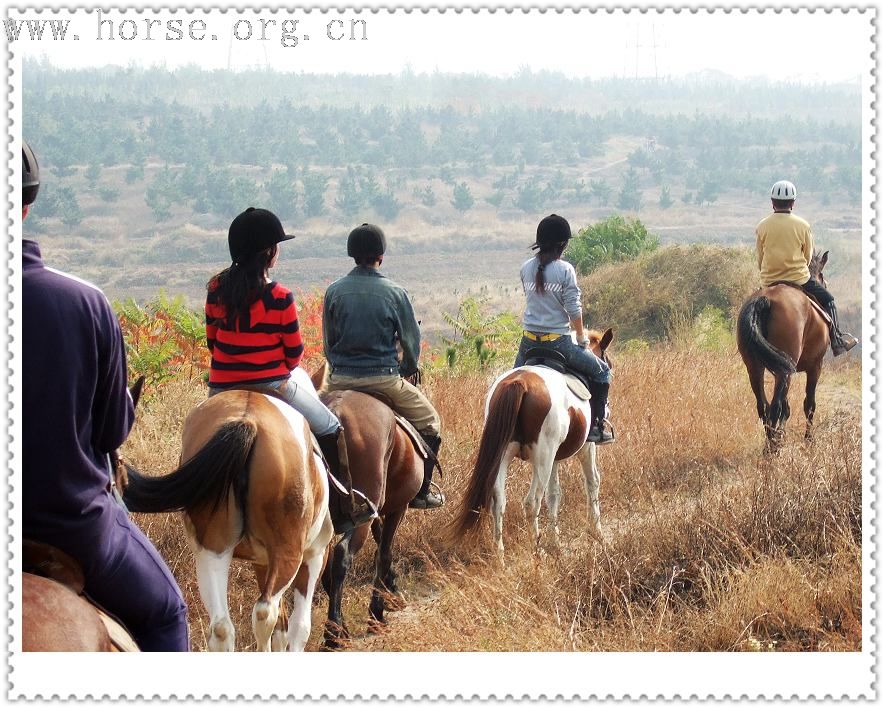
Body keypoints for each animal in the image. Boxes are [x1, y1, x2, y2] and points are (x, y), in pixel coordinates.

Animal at [122, 370, 334, 652]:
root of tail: (247, 420)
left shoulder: (260, 561)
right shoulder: (315, 554)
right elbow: (299, 627)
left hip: (213, 551)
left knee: (222, 627)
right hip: (287, 551)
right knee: (265, 612)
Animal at [308, 362, 424, 648]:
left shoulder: (372, 512)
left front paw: (391, 592)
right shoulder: (397, 508)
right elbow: (383, 552)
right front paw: (377, 613)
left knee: (326, 564)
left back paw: (339, 629)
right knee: (341, 557)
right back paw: (333, 636)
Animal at [448, 330, 616, 556]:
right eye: (608, 365)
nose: (607, 409)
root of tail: (519, 383)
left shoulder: (555, 458)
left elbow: (554, 494)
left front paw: (556, 542)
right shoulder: (586, 449)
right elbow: (592, 482)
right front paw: (596, 532)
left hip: (505, 457)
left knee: (498, 502)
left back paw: (500, 556)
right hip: (543, 458)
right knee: (531, 502)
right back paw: (536, 550)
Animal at [740, 249, 836, 448]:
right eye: (822, 275)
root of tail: (765, 299)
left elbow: (787, 406)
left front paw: (782, 434)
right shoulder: (816, 366)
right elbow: (809, 404)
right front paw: (808, 440)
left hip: (755, 367)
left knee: (764, 406)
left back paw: (772, 441)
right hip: (786, 368)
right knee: (776, 406)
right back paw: (772, 448)